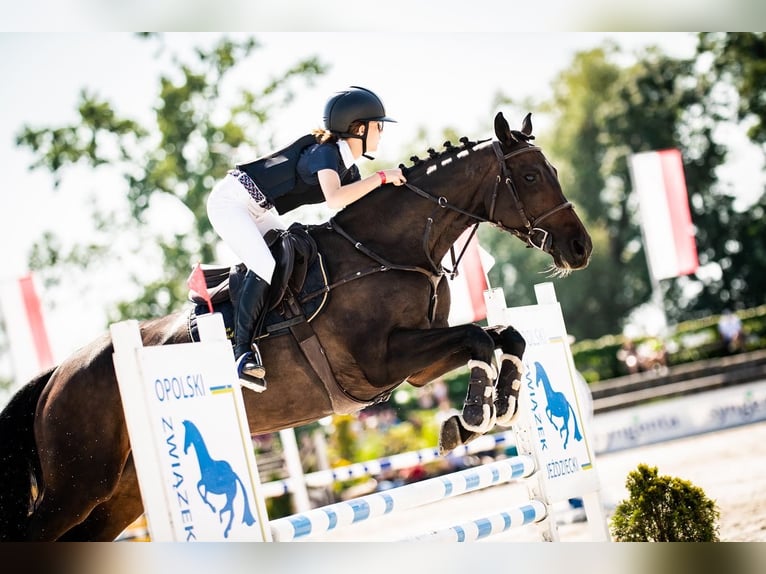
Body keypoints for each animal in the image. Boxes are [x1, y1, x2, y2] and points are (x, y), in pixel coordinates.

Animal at [0, 111, 591, 541]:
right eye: (531, 175)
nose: (581, 249)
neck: (384, 249)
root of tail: (58, 373)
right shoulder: (382, 362)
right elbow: (476, 337)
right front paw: (469, 418)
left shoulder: (417, 369)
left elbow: (504, 338)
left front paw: (495, 407)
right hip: (78, 484)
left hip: (118, 494)